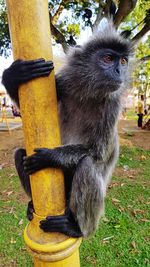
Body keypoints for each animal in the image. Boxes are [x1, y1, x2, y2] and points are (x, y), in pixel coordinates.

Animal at [1, 23, 132, 239]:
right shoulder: (64, 83)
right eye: (108, 59)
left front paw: (49, 156)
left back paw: (76, 228)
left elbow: (98, 152)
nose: (119, 70)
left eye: (122, 61)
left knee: (87, 165)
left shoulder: (112, 105)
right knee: (20, 153)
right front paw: (14, 76)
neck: (89, 93)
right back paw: (32, 206)